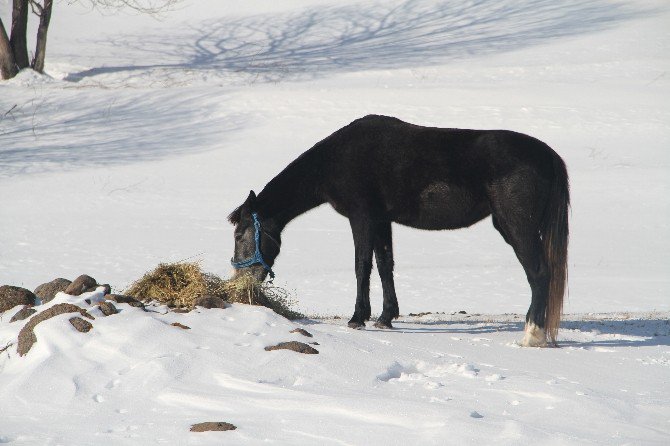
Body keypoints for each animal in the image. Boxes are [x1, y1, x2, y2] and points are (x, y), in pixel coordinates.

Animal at [228, 113, 568, 346]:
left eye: (239, 235)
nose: (240, 280)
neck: (338, 159)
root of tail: (547, 155)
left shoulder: (362, 218)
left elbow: (362, 265)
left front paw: (357, 318)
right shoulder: (382, 221)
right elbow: (384, 265)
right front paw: (385, 317)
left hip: (517, 228)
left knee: (539, 274)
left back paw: (533, 335)